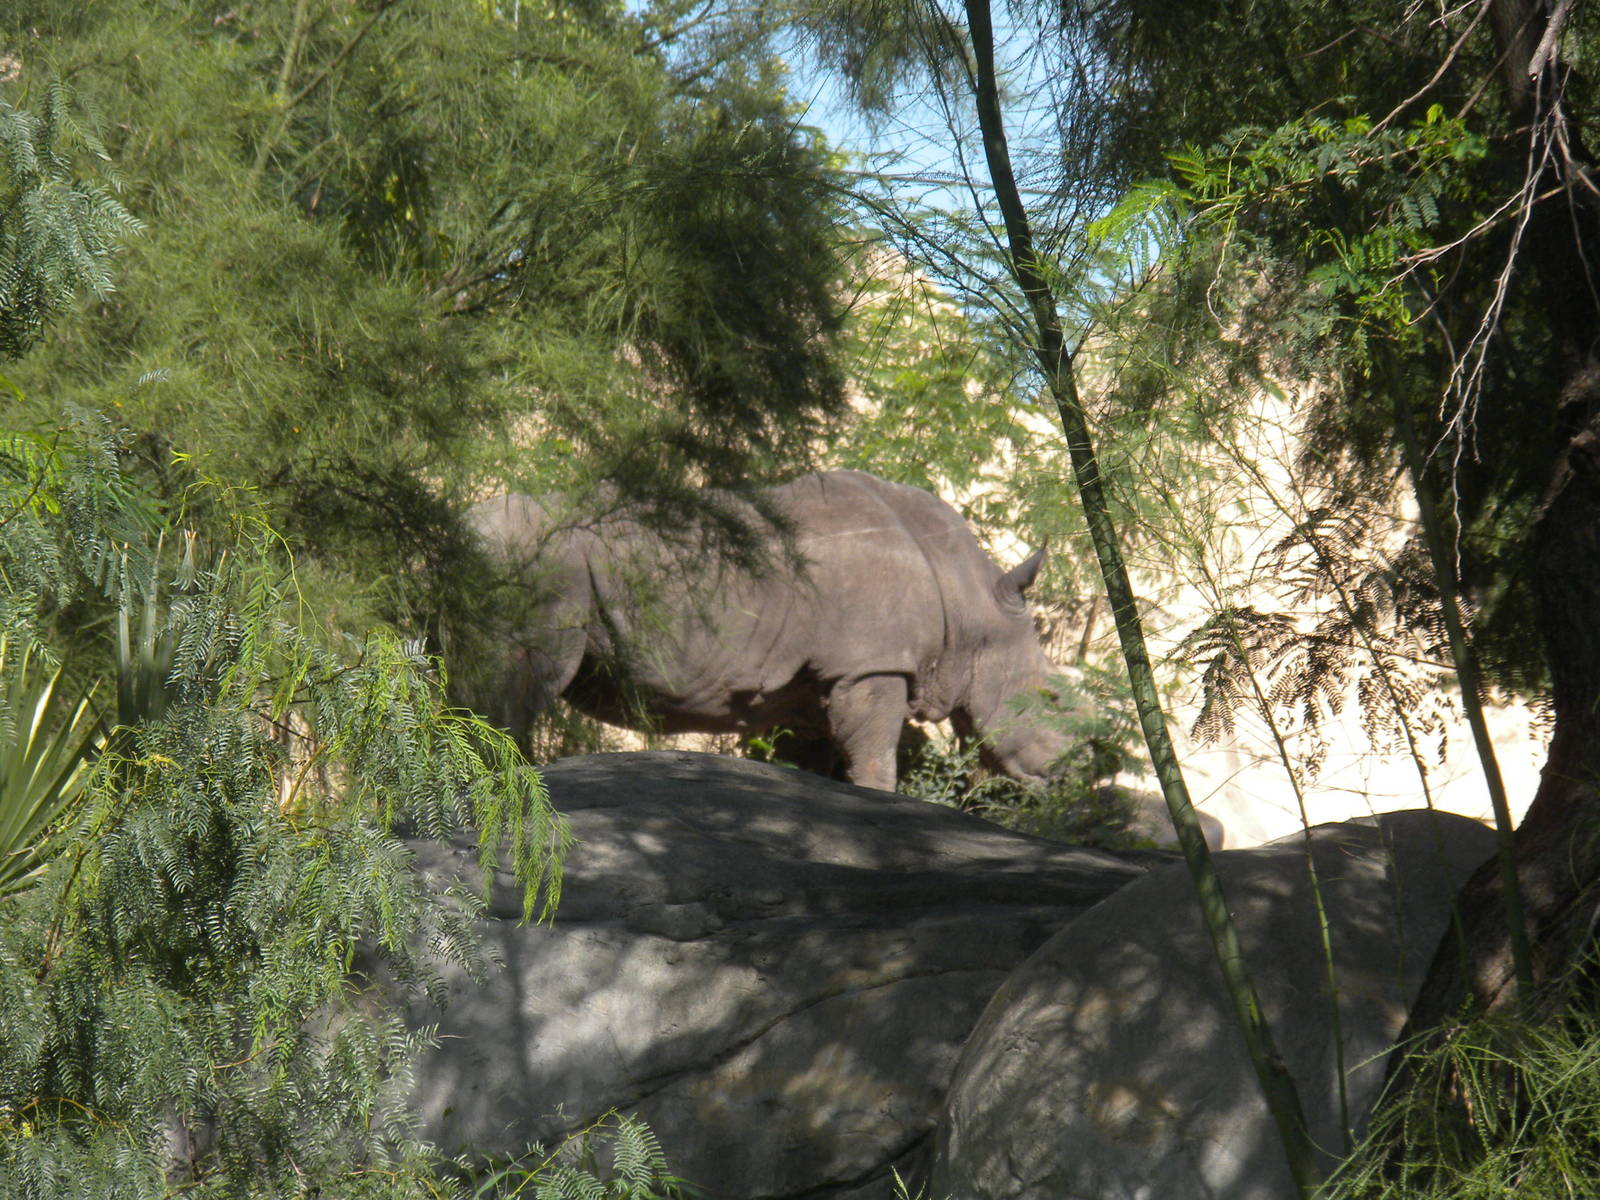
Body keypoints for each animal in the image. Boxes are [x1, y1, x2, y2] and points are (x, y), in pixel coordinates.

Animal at [467, 469, 1078, 792]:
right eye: (1052, 701)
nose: (1070, 778)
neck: (973, 599)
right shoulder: (870, 665)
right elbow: (876, 757)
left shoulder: (821, 683)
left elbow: (825, 761)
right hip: (546, 558)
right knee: (528, 675)